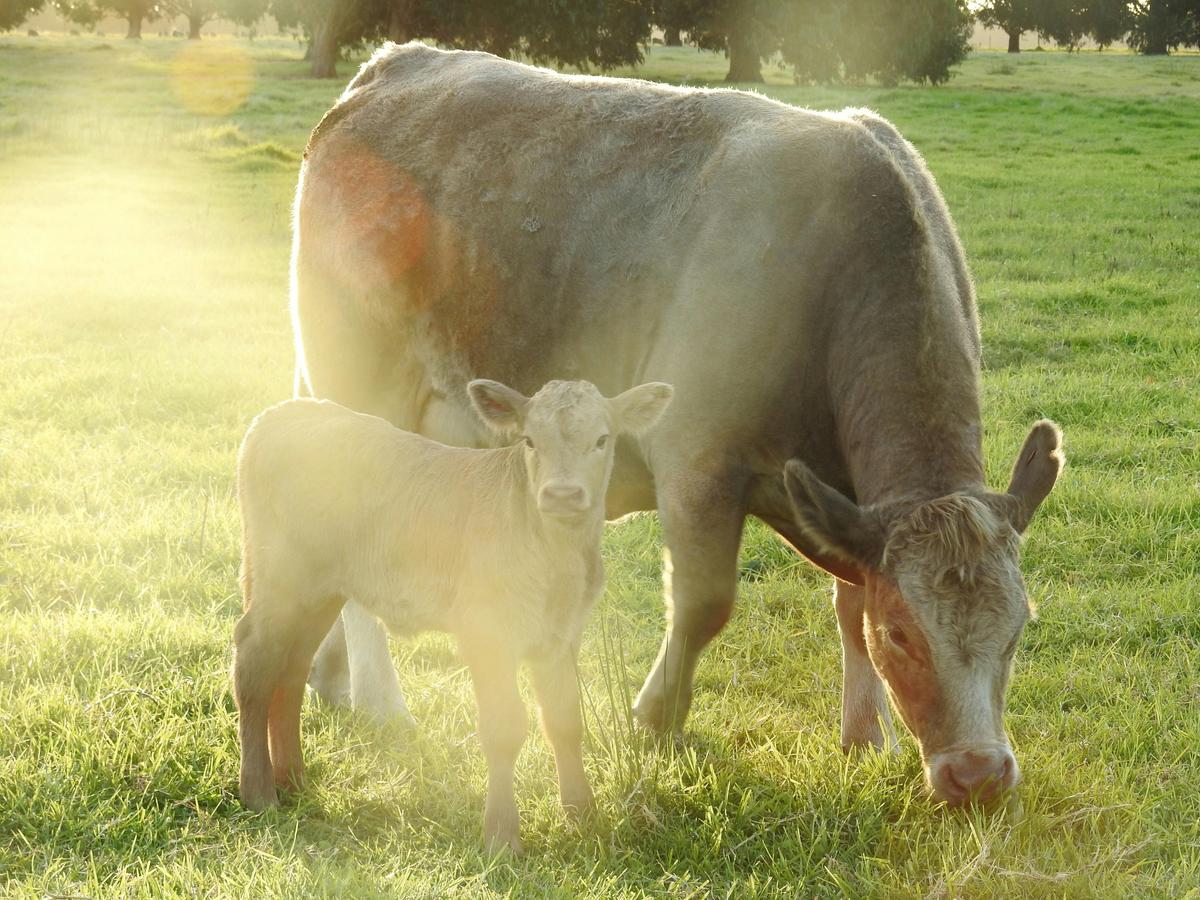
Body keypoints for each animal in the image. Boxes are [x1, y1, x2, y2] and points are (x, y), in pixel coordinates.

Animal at [234, 379, 674, 852]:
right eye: (530, 441)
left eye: (602, 440)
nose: (562, 494)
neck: (555, 552)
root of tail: (282, 413)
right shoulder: (487, 632)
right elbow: (503, 728)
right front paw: (502, 836)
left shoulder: (560, 636)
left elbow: (565, 721)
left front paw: (583, 814)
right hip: (282, 578)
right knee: (255, 660)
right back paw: (259, 792)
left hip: (319, 591)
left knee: (292, 668)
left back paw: (293, 779)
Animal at [290, 41, 1064, 806]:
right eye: (903, 634)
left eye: (1020, 627)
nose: (980, 774)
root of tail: (395, 62)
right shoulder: (698, 459)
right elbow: (705, 603)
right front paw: (655, 718)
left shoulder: (843, 499)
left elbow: (848, 600)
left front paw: (866, 736)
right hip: (360, 386)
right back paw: (381, 700)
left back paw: (328, 677)